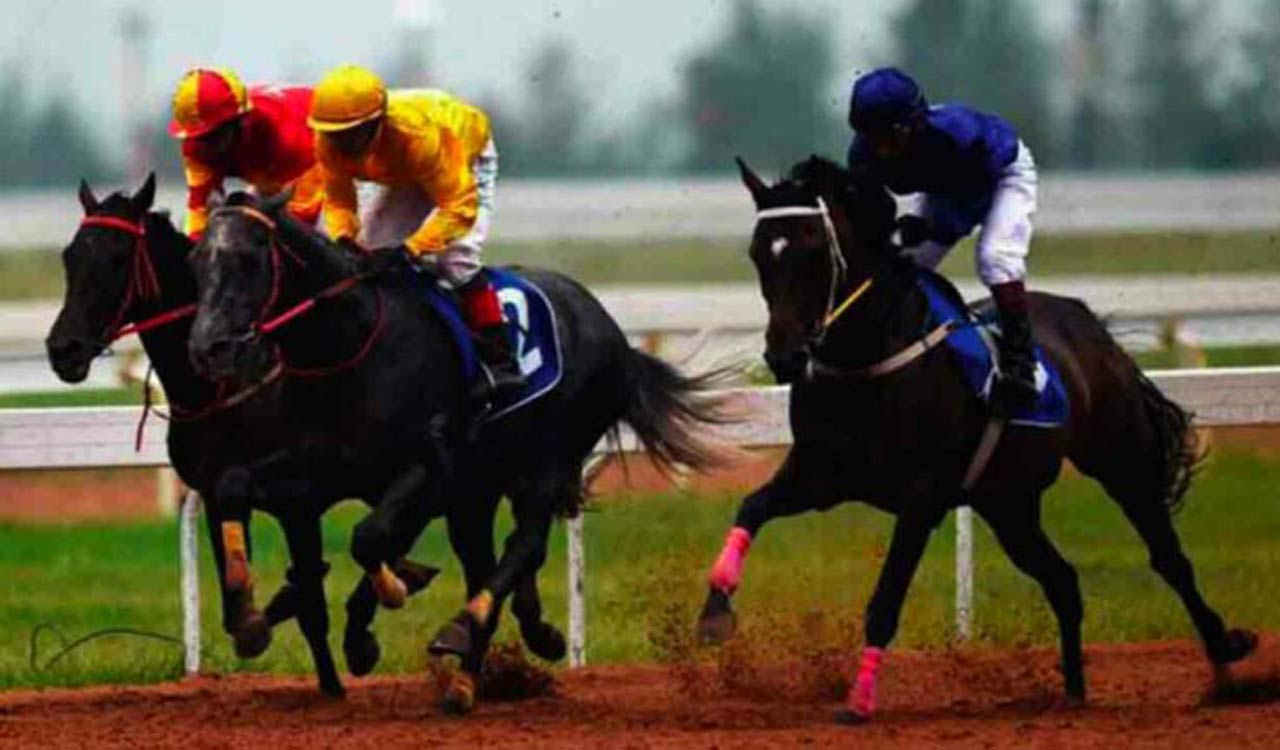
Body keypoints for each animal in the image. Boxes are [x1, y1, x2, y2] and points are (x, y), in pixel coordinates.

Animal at [185, 191, 731, 713]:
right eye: (197, 260)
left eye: (250, 258)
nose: (208, 348)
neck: (352, 344)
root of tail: (612, 330)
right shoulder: (323, 469)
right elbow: (234, 485)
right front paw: (250, 618)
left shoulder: (429, 469)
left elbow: (370, 537)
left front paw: (380, 608)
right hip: (479, 492)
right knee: (485, 562)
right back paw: (479, 670)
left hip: (548, 463)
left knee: (523, 546)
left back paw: (465, 631)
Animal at [695, 155, 1257, 724]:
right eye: (758, 252)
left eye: (812, 247)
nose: (783, 356)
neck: (869, 359)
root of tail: (1090, 323)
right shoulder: (819, 475)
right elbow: (751, 506)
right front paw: (715, 611)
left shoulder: (921, 498)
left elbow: (886, 600)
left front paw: (859, 698)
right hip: (1008, 504)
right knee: (1063, 580)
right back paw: (1074, 691)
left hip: (1119, 460)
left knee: (1169, 560)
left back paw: (1225, 662)